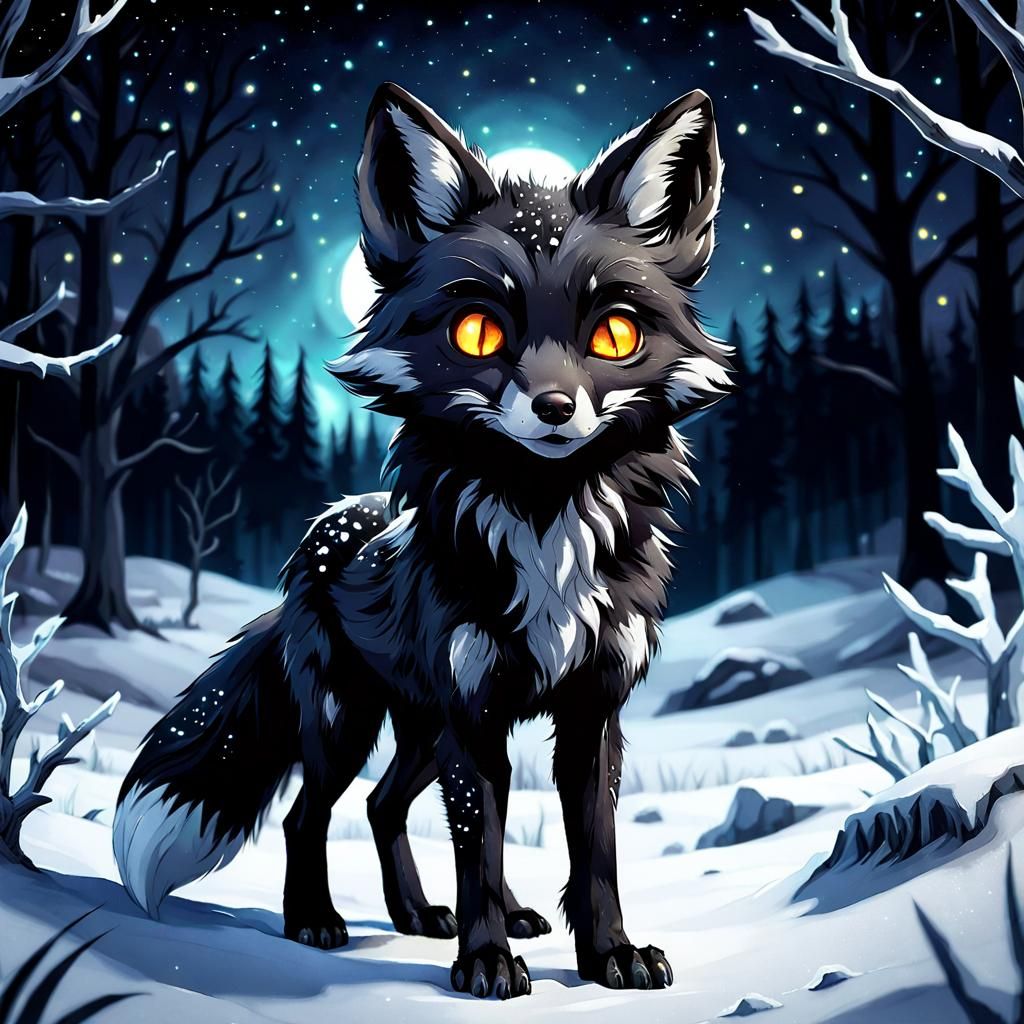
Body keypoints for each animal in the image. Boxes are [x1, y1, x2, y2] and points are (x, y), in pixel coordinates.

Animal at [113, 82, 732, 999]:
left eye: (614, 334)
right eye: (478, 332)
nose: (555, 409)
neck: (544, 527)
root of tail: (315, 534)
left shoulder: (591, 707)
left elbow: (596, 850)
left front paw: (609, 956)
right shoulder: (474, 711)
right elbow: (479, 846)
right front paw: (485, 962)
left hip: (419, 731)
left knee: (382, 805)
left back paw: (420, 914)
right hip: (350, 725)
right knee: (310, 814)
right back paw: (316, 920)